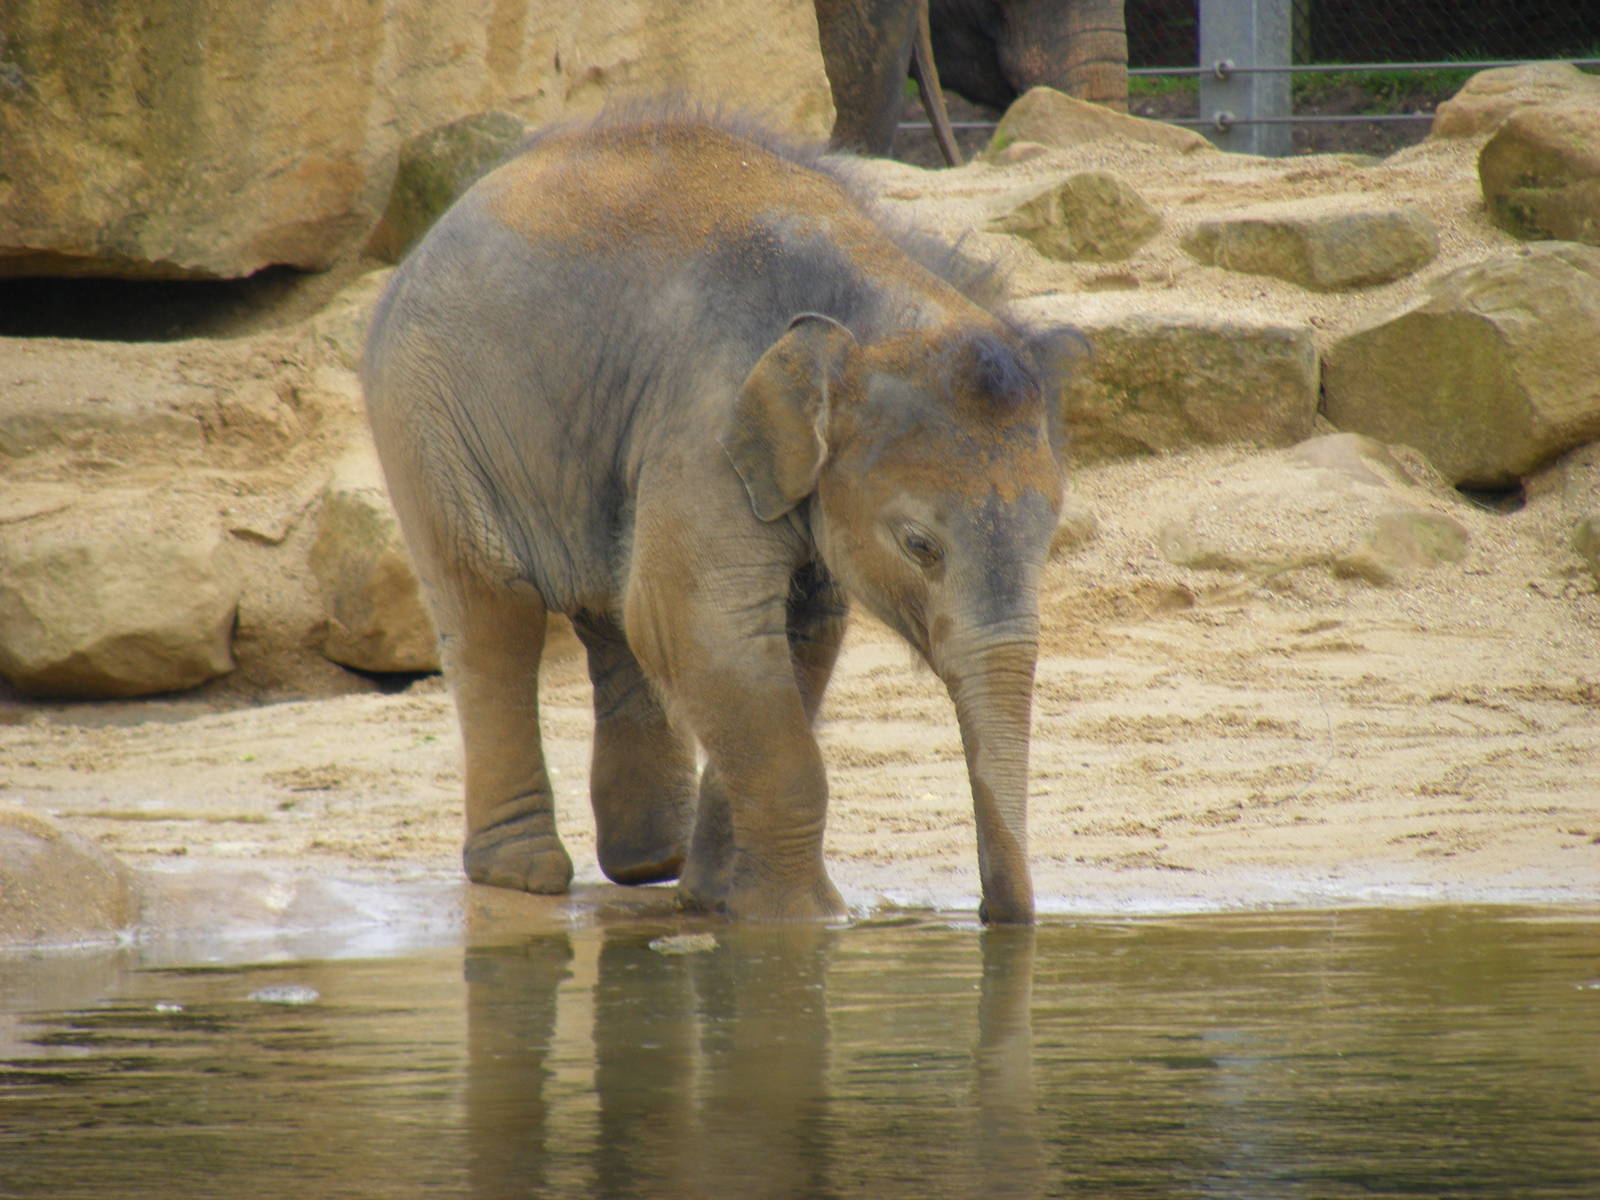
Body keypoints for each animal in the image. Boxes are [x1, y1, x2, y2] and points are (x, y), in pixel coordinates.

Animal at [363, 112, 1080, 923]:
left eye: (1051, 541)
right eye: (919, 545)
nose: (993, 916)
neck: (867, 313)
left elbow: (794, 634)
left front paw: (716, 899)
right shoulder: (705, 420)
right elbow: (700, 621)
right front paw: (800, 919)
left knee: (611, 613)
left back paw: (650, 862)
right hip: (427, 413)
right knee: (493, 610)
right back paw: (524, 874)